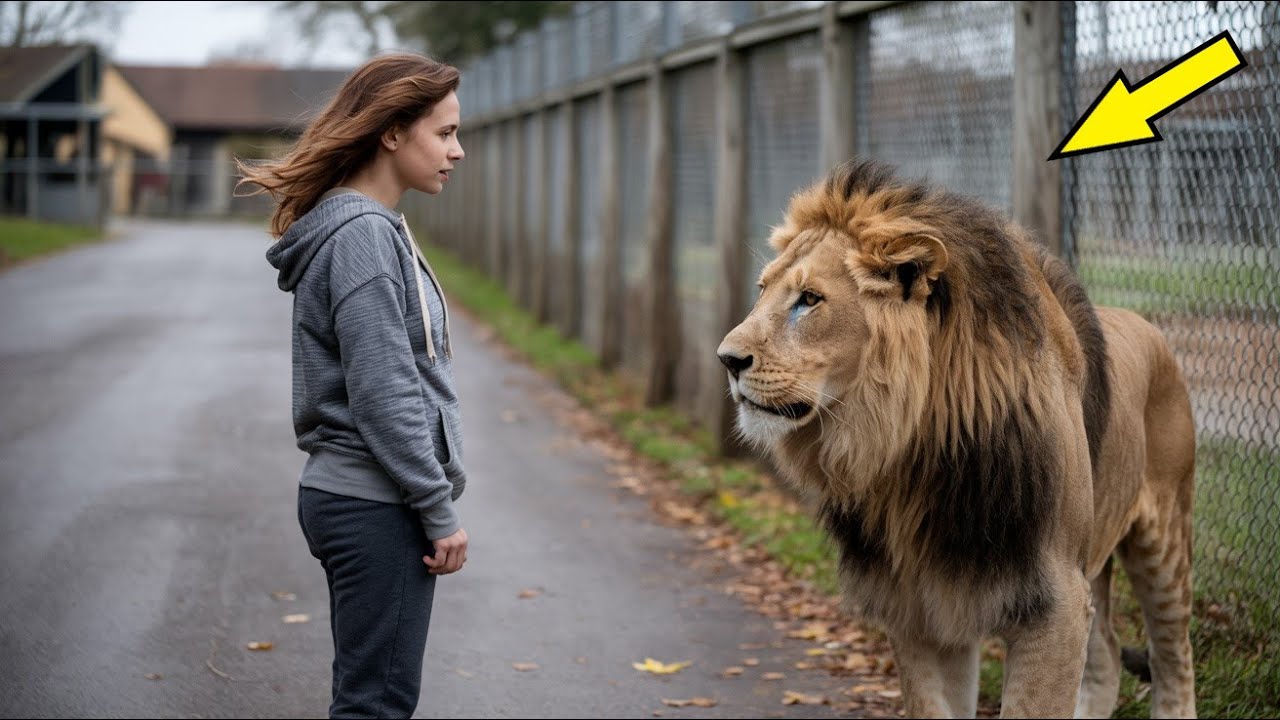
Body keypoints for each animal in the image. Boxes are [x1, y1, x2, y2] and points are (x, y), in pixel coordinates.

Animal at [717, 159, 1196, 718]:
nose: (726, 359)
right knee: (1109, 650)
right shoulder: (919, 605)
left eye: (809, 300)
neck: (914, 453)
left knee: (1173, 655)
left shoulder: (1054, 602)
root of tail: (1150, 325)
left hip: (1164, 540)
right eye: (762, 290)